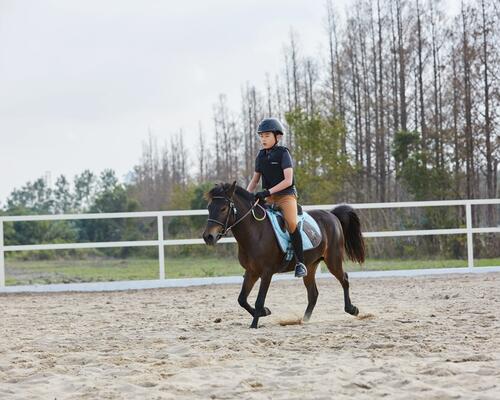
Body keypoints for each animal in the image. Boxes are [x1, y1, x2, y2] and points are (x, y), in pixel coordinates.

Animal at [201, 181, 366, 328]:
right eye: (209, 207)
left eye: (223, 208)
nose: (208, 236)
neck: (255, 232)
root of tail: (331, 215)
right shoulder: (252, 271)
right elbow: (242, 299)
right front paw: (265, 312)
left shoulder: (267, 272)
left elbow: (259, 300)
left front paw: (254, 324)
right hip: (310, 266)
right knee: (313, 294)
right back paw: (304, 320)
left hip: (333, 259)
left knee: (344, 279)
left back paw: (352, 309)